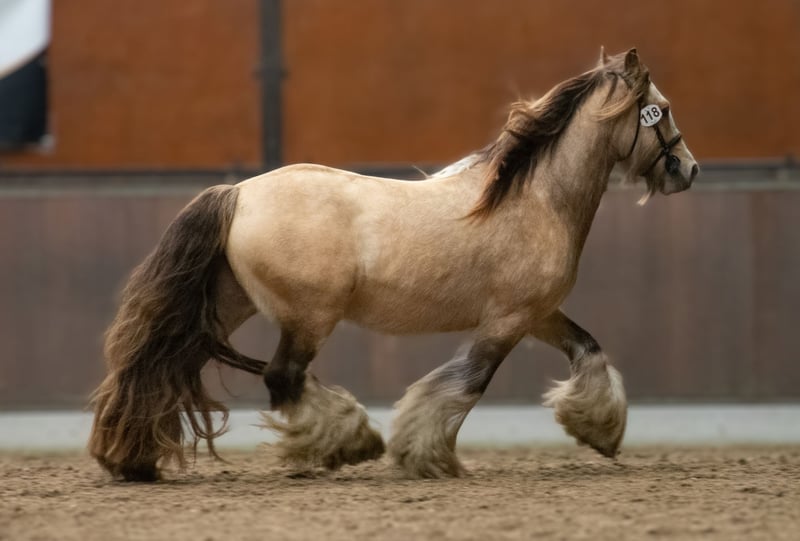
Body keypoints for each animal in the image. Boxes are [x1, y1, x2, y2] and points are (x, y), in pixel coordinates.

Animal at [89, 48, 698, 481]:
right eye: (663, 110)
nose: (687, 170)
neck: (535, 198)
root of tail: (237, 193)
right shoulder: (506, 321)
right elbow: (465, 384)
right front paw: (423, 455)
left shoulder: (538, 314)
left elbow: (589, 350)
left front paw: (601, 431)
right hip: (309, 317)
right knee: (282, 377)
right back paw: (350, 442)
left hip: (227, 306)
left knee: (163, 366)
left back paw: (130, 459)